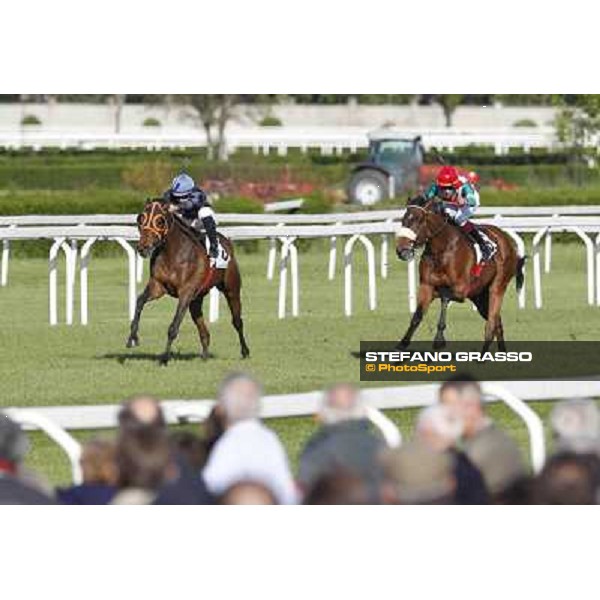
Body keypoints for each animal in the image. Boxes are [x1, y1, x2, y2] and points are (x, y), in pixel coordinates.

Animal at [125, 199, 250, 364]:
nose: (143, 247)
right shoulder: (158, 286)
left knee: (237, 321)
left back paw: (245, 351)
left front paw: (164, 358)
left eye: (160, 221)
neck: (173, 254)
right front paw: (132, 337)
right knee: (203, 329)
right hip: (196, 300)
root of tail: (226, 241)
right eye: (140, 219)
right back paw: (205, 355)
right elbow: (139, 301)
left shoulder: (186, 292)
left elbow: (173, 327)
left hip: (231, 289)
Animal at [396, 196, 524, 352]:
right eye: (403, 220)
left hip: (497, 286)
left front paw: (439, 339)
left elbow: (445, 297)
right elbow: (417, 315)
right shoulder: (427, 286)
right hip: (479, 295)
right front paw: (403, 343)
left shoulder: (461, 290)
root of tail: (506, 240)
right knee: (497, 324)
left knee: (491, 324)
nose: (401, 250)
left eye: (418, 220)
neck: (442, 249)